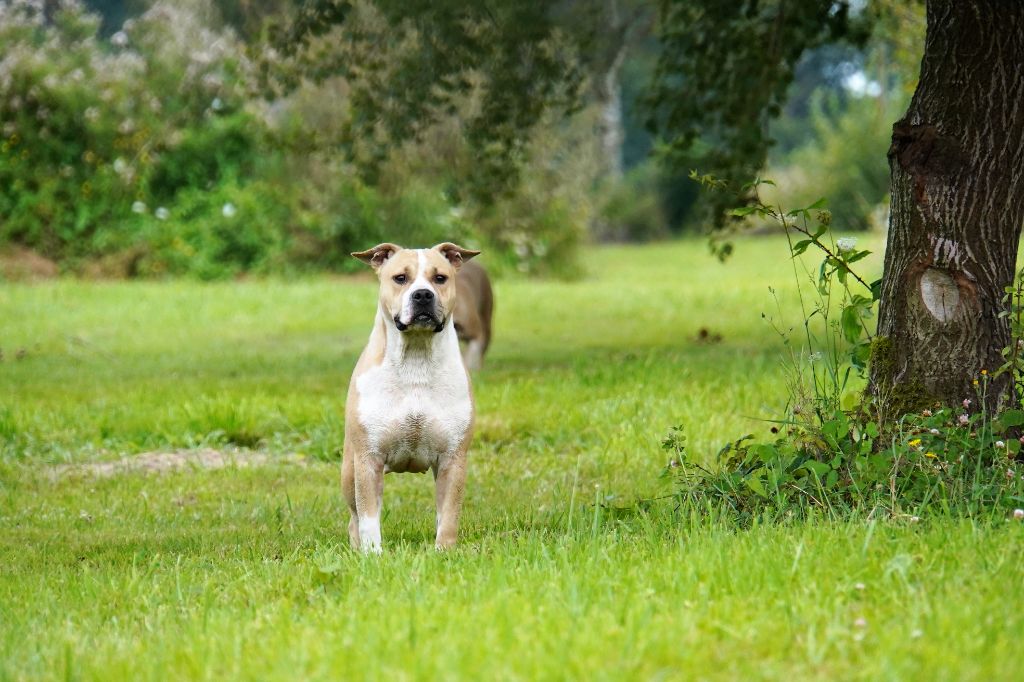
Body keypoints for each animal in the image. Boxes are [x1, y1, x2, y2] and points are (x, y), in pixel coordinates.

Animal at [339, 241, 475, 548]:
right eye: (400, 278)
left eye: (440, 278)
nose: (423, 294)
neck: (416, 359)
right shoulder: (368, 459)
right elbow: (368, 519)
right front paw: (373, 554)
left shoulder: (452, 459)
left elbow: (448, 516)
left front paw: (444, 552)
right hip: (349, 471)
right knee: (354, 518)